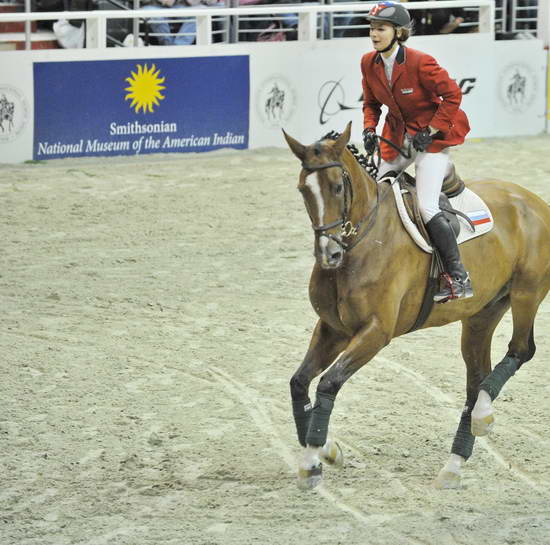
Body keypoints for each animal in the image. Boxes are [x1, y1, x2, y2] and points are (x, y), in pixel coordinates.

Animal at [284, 122, 550, 488]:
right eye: (303, 190)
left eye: (338, 187)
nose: (329, 254)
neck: (364, 241)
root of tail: (533, 200)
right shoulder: (333, 329)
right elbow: (299, 382)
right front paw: (327, 450)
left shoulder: (375, 333)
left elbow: (328, 383)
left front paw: (312, 460)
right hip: (481, 316)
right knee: (476, 381)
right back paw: (455, 462)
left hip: (527, 293)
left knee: (521, 350)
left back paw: (484, 416)